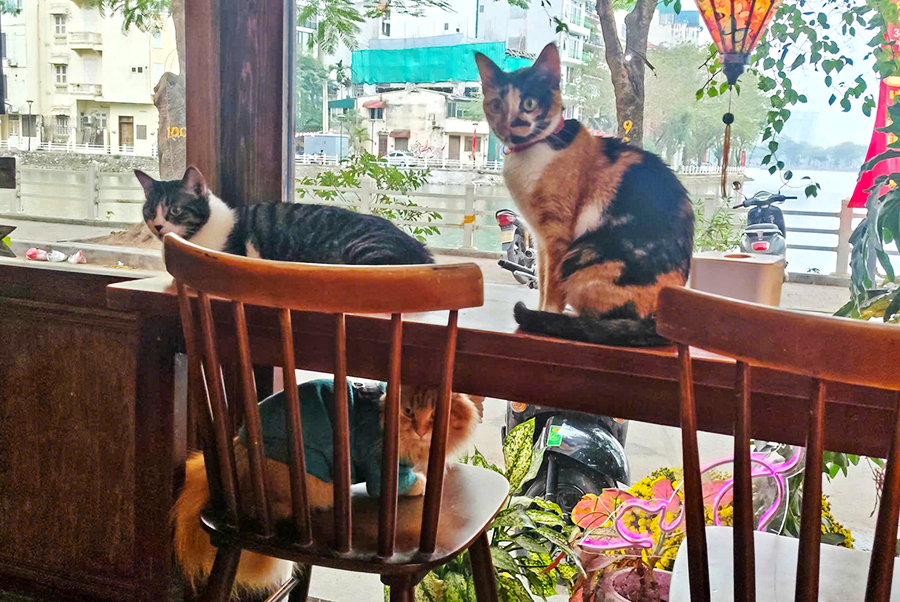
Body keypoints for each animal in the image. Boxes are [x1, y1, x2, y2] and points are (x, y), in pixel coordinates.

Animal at [174, 379, 483, 593]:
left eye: (435, 415)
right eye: (408, 412)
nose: (420, 430)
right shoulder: (382, 467)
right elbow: (401, 483)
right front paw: (420, 482)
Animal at [475, 43, 694, 346]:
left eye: (529, 103)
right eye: (496, 105)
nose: (510, 124)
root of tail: (661, 322)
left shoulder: (557, 235)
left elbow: (553, 287)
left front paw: (546, 313)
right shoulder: (540, 238)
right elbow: (543, 279)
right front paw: (541, 309)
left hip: (581, 257)